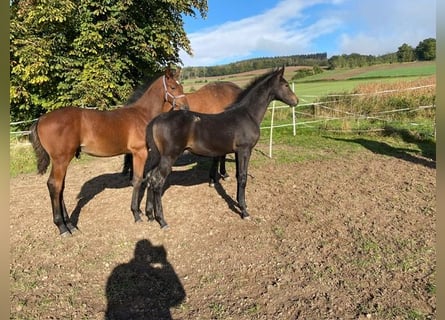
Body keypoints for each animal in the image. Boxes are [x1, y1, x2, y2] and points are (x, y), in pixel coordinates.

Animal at [27, 68, 187, 235]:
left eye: (181, 86)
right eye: (173, 87)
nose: (185, 107)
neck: (141, 114)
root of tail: (41, 119)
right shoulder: (140, 152)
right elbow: (137, 180)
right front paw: (136, 214)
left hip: (61, 161)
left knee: (60, 187)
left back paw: (70, 225)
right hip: (61, 159)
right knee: (55, 185)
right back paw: (62, 227)